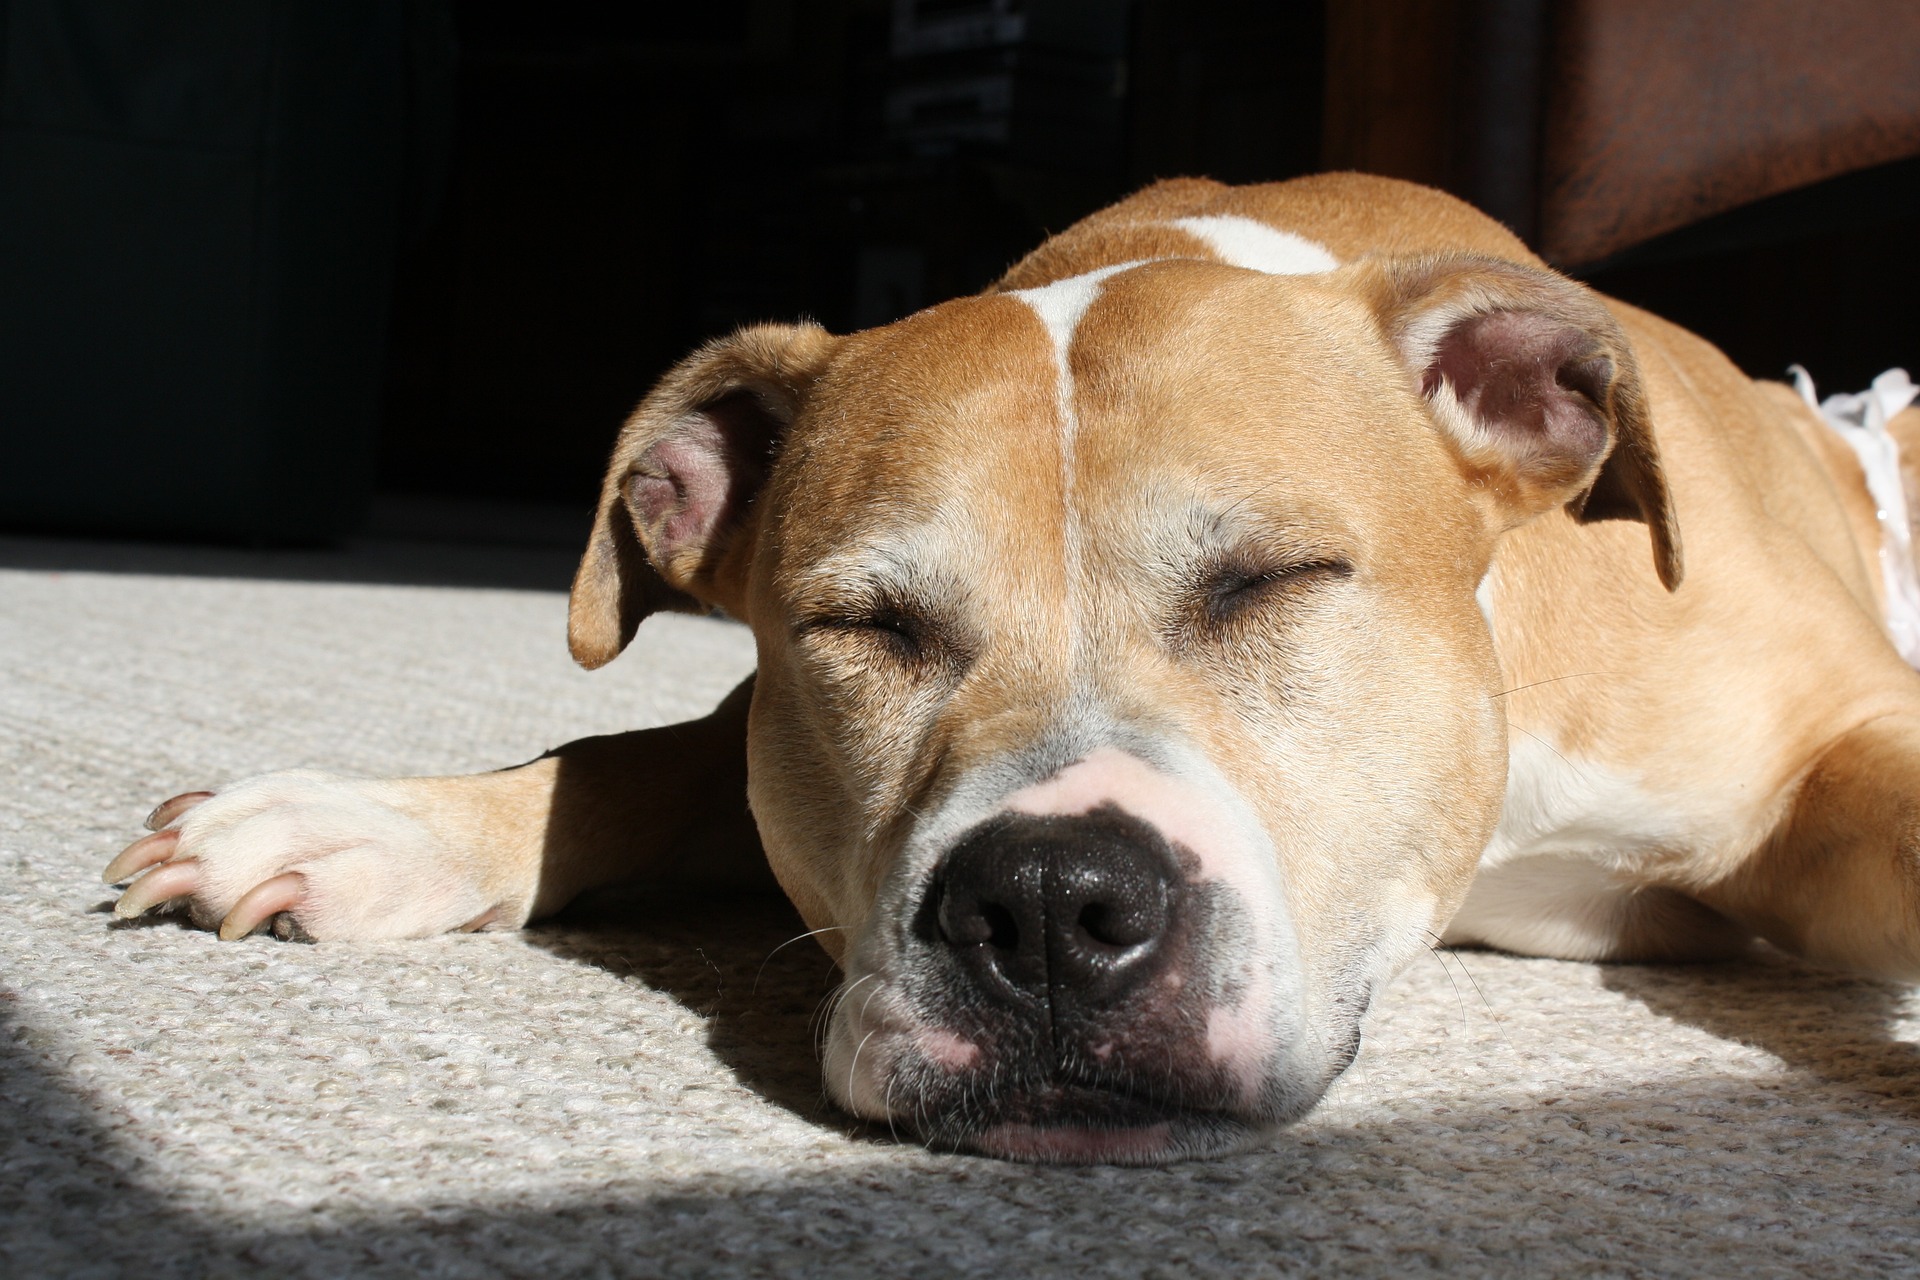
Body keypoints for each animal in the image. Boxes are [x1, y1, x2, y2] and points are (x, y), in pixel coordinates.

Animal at [101, 175, 1920, 1166]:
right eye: (866, 629)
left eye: (1274, 579)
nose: (1047, 905)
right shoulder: (756, 713)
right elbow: (624, 759)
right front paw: (367, 822)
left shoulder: (1838, 745)